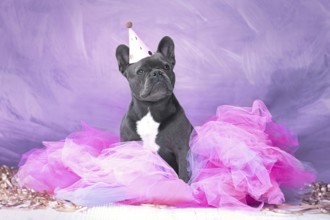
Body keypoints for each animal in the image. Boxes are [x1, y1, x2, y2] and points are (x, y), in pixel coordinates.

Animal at [116, 36, 193, 182]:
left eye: (166, 66)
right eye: (140, 71)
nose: (157, 72)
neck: (151, 107)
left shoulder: (181, 147)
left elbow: (183, 172)